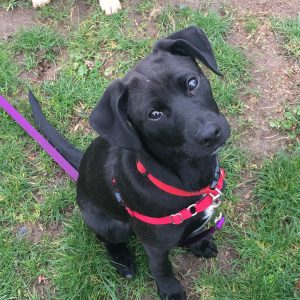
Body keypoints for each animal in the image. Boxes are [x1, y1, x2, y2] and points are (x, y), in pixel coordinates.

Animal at [29, 27, 230, 298]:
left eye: (192, 83)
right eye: (154, 114)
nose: (211, 134)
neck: (188, 177)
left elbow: (196, 231)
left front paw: (199, 244)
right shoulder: (154, 245)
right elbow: (162, 268)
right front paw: (170, 290)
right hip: (112, 225)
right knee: (107, 240)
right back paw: (123, 260)